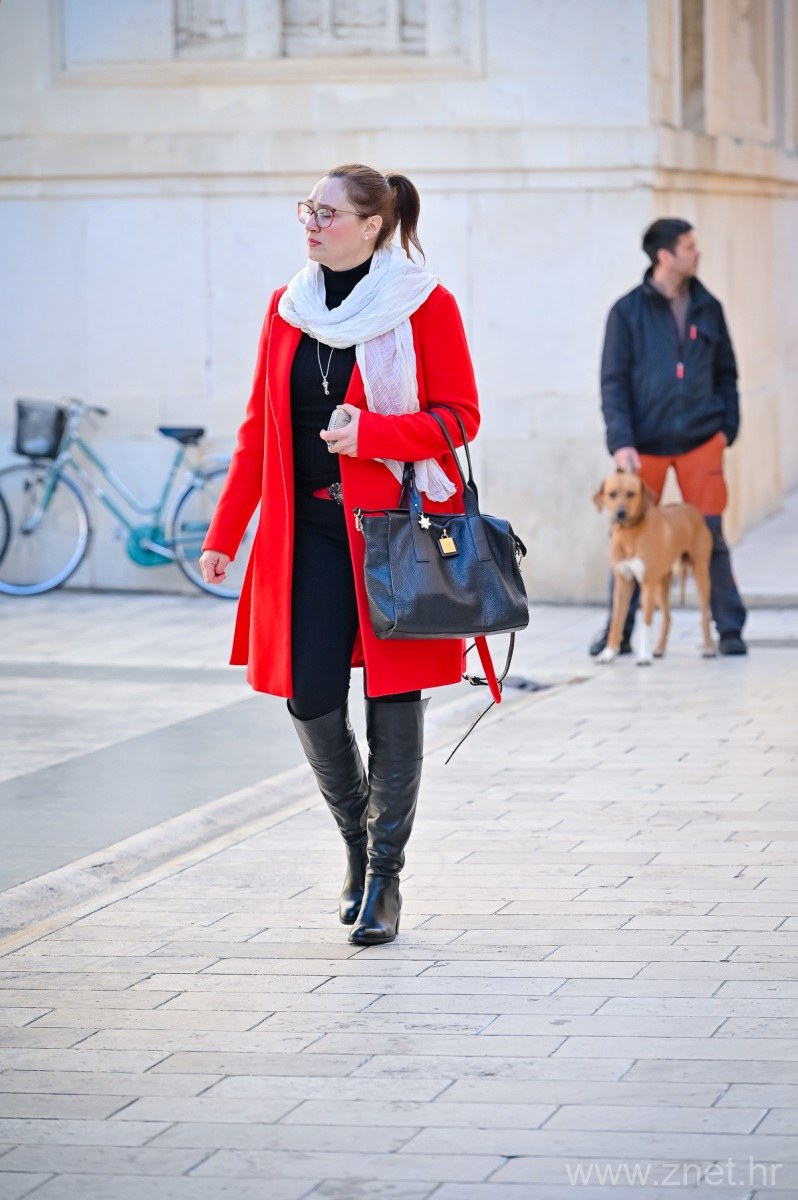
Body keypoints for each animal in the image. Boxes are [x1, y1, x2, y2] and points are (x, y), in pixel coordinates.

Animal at [593, 471, 716, 665]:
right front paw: (608, 653)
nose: (620, 513)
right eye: (612, 494)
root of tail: (692, 510)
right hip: (661, 582)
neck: (630, 534)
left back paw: (709, 648)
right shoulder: (623, 583)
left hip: (700, 573)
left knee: (704, 615)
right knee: (668, 617)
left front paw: (644, 656)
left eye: (631, 493)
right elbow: (616, 621)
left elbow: (646, 621)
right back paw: (659, 648)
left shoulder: (647, 583)